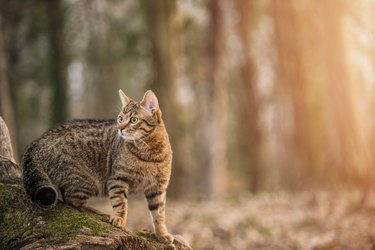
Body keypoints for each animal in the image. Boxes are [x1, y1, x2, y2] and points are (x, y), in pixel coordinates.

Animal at [22, 90, 176, 244]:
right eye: (120, 119)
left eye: (133, 120)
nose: (120, 128)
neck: (149, 153)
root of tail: (37, 141)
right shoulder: (118, 179)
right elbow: (120, 202)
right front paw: (119, 218)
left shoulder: (158, 188)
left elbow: (159, 214)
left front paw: (162, 234)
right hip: (84, 181)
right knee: (72, 201)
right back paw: (98, 212)